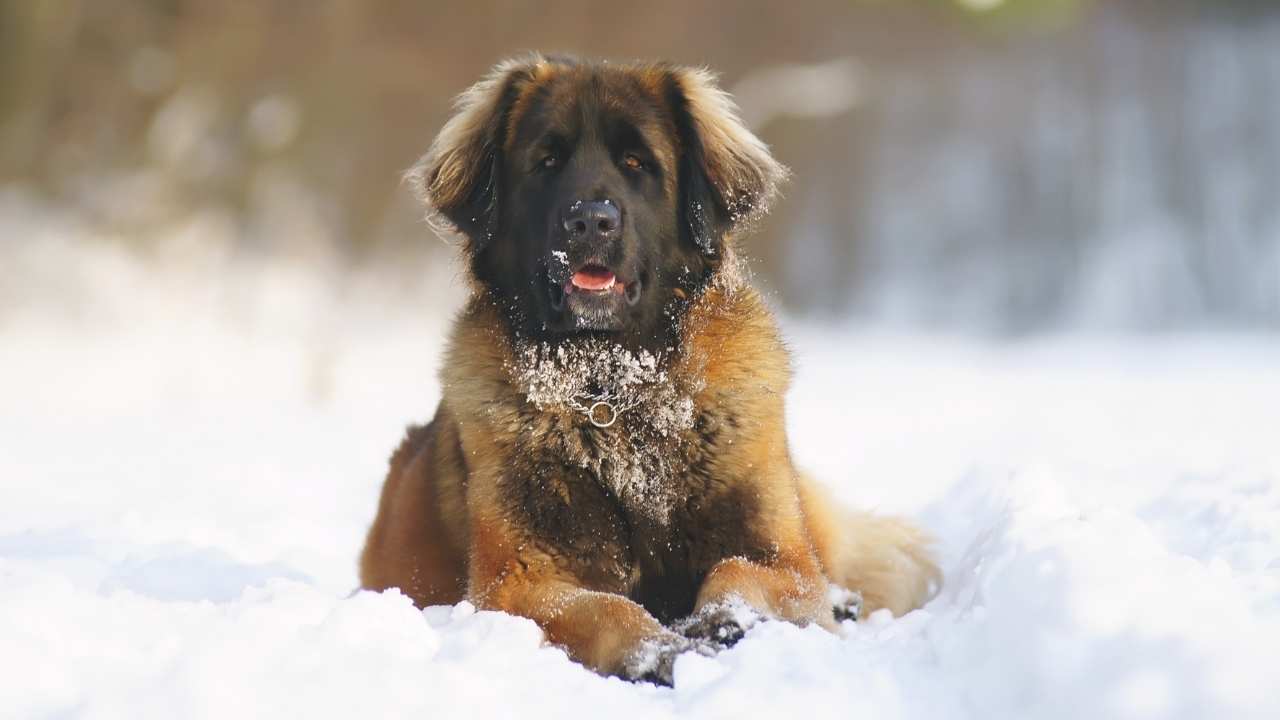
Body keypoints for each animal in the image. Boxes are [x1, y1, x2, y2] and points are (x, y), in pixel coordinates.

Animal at [360, 53, 942, 681]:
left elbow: (740, 569)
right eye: (547, 162)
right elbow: (606, 607)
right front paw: (663, 650)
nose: (591, 221)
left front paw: (720, 621)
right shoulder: (514, 582)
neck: (616, 385)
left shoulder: (788, 562)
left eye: (637, 163)